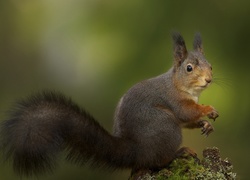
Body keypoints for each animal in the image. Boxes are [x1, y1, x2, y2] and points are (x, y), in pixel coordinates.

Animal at [0, 31, 219, 176]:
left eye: (210, 65)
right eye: (189, 68)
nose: (208, 80)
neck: (181, 85)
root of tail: (135, 151)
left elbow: (189, 121)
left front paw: (205, 124)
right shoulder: (174, 99)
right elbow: (186, 112)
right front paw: (208, 110)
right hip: (166, 127)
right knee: (158, 161)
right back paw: (179, 153)